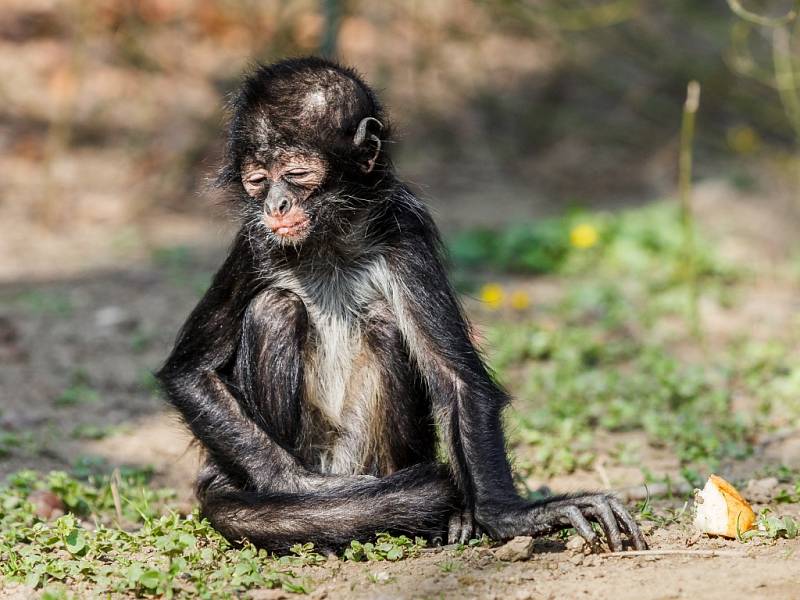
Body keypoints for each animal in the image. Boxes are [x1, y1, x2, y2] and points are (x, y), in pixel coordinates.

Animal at [155, 57, 644, 552]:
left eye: (295, 174)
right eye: (257, 180)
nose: (276, 204)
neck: (328, 247)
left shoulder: (404, 236)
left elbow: (458, 381)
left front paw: (509, 516)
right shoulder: (254, 246)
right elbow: (189, 372)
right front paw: (294, 487)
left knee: (385, 323)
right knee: (275, 306)